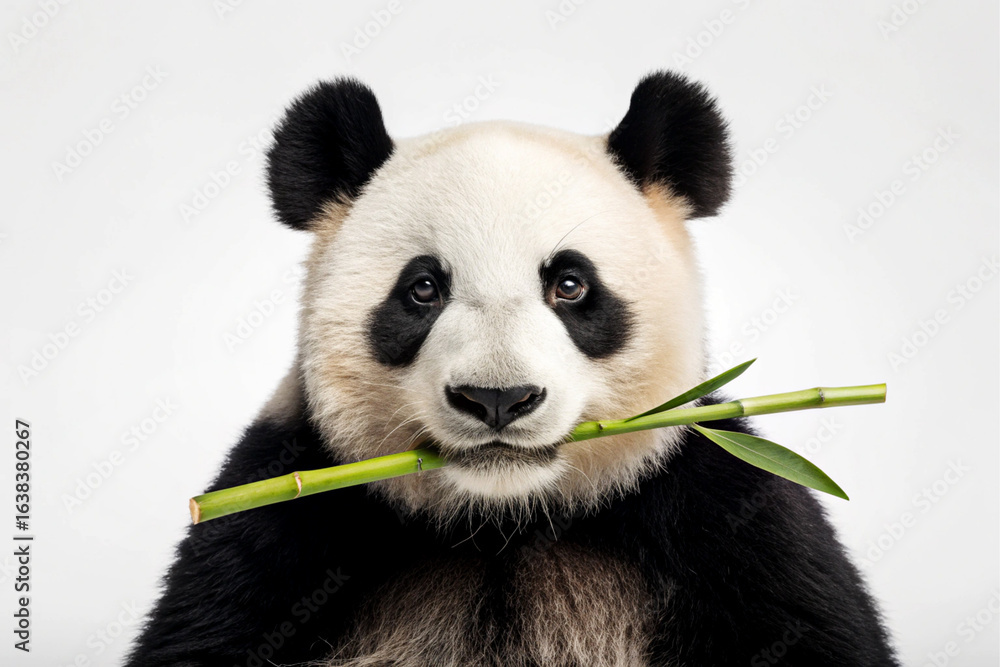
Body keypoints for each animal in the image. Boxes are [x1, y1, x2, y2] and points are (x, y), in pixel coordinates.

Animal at [127, 71, 898, 666]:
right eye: (423, 288)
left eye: (570, 285)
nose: (497, 399)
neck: (506, 521)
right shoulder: (284, 516)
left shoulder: (724, 513)